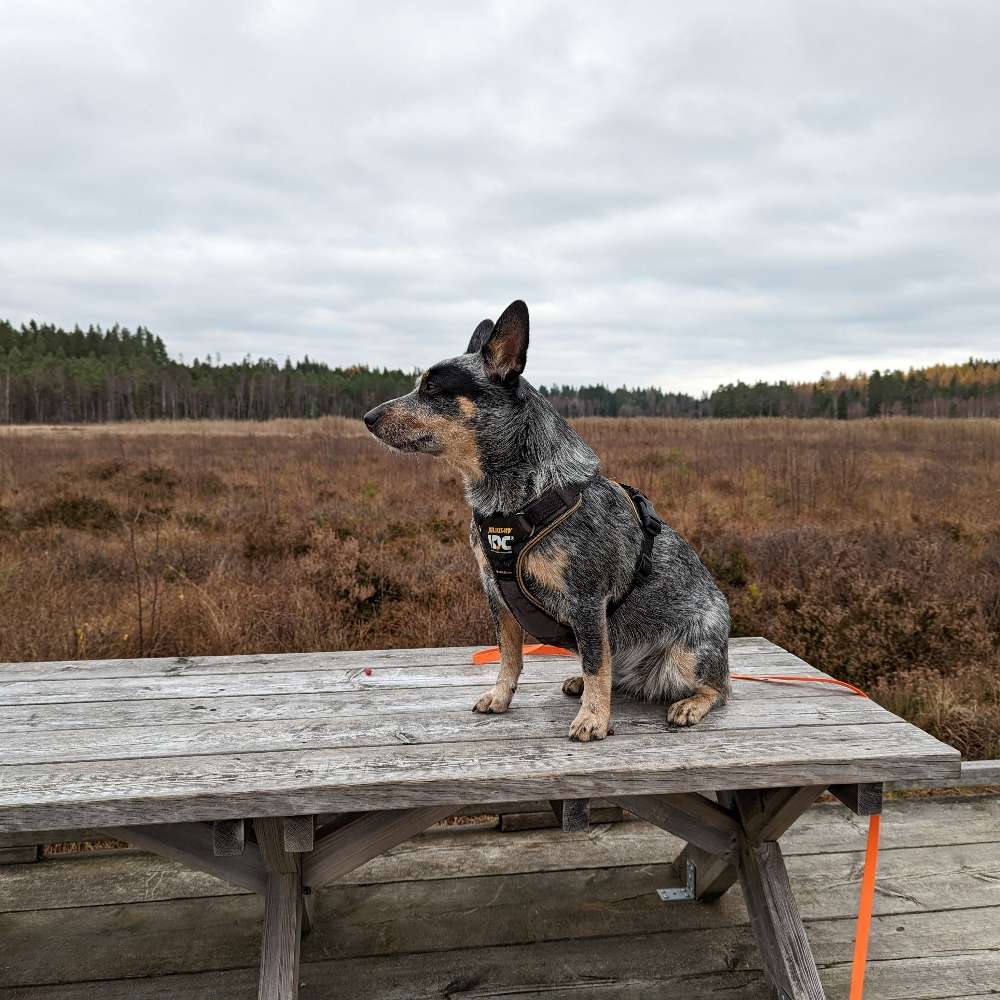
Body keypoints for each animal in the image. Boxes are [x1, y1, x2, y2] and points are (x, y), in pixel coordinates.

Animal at [364, 302, 732, 744]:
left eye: (433, 390)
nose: (367, 417)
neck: (509, 500)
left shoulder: (587, 600)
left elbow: (595, 663)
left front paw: (593, 719)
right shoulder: (497, 595)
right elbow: (509, 656)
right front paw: (501, 696)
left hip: (689, 652)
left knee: (719, 688)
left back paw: (690, 704)